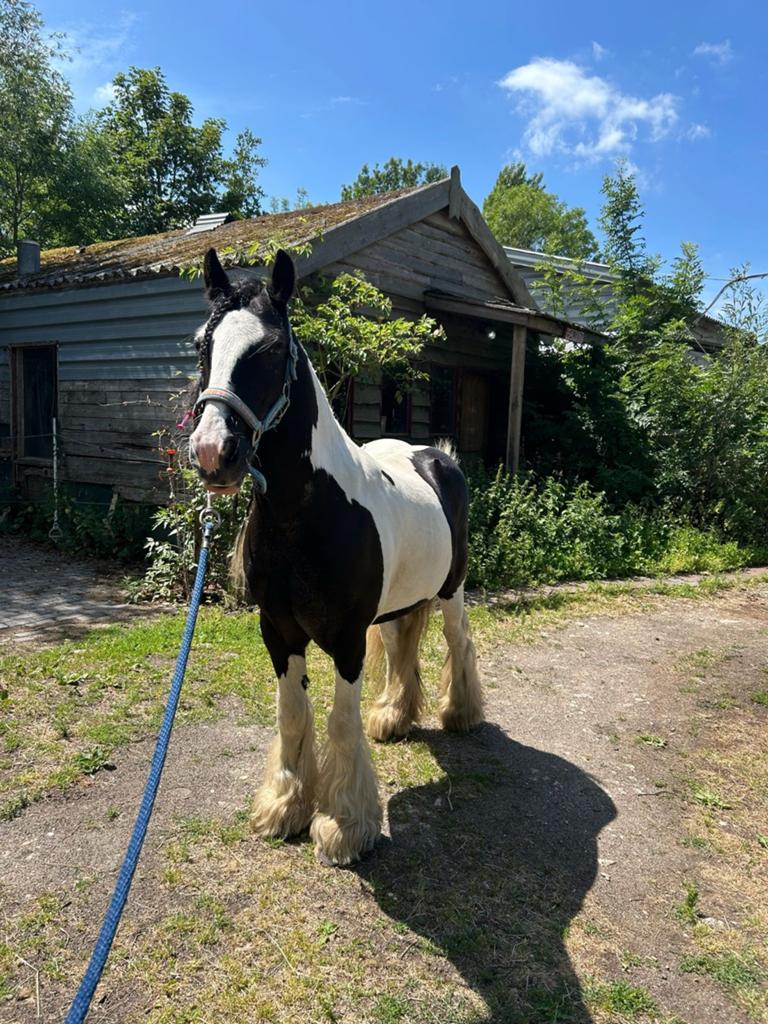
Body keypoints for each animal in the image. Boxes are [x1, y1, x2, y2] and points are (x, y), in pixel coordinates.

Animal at [188, 247, 483, 865]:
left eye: (271, 350)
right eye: (203, 345)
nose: (212, 453)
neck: (307, 514)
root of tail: (437, 456)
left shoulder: (346, 641)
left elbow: (340, 722)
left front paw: (344, 824)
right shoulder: (278, 631)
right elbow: (293, 713)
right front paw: (285, 806)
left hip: (452, 591)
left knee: (457, 642)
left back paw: (461, 714)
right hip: (399, 605)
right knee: (401, 650)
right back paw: (394, 716)